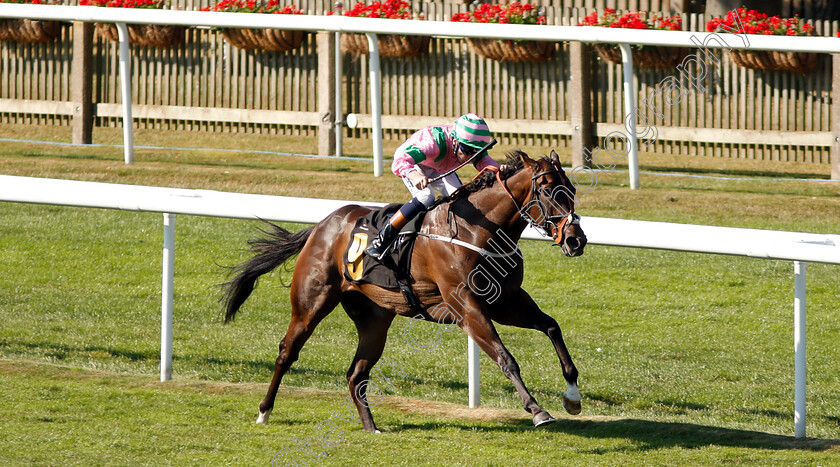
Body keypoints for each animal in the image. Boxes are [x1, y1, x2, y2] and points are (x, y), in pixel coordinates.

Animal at [223, 149, 592, 432]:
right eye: (548, 191)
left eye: (572, 189)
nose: (576, 240)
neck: (477, 229)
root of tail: (320, 226)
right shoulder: (468, 307)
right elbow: (506, 358)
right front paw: (537, 410)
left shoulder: (506, 301)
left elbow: (551, 327)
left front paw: (572, 397)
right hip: (311, 304)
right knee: (287, 352)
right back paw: (264, 410)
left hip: (374, 319)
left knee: (356, 374)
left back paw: (371, 427)